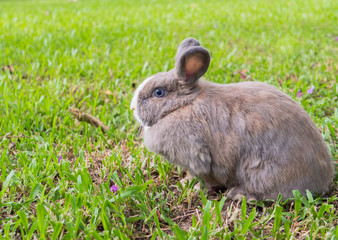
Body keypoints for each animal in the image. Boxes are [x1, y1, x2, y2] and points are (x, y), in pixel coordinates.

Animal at [131, 38, 334, 202]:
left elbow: (206, 178)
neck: (185, 103)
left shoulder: (198, 157)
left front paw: (195, 188)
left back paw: (240, 195)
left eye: (158, 92)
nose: (132, 107)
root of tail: (324, 180)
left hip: (260, 171)